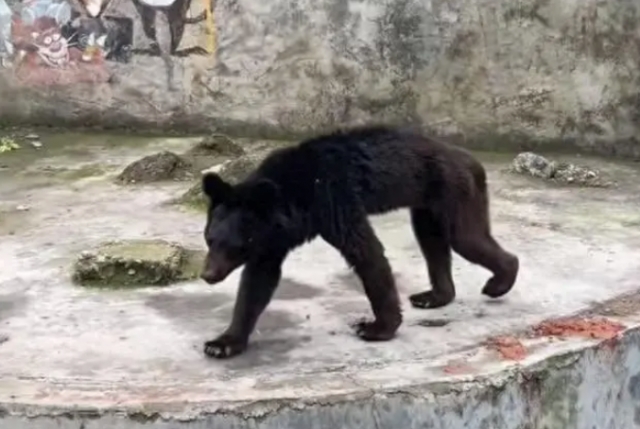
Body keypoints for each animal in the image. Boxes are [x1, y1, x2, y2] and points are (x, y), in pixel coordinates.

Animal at [200, 123, 520, 358]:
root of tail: (471, 159)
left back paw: (499, 281)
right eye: (209, 239)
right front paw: (221, 343)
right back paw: (434, 295)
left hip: (454, 188)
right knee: (432, 241)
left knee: (466, 237)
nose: (208, 274)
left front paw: (376, 328)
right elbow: (258, 280)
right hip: (427, 203)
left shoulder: (332, 199)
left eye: (235, 245)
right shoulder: (272, 237)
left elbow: (365, 252)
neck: (293, 195)